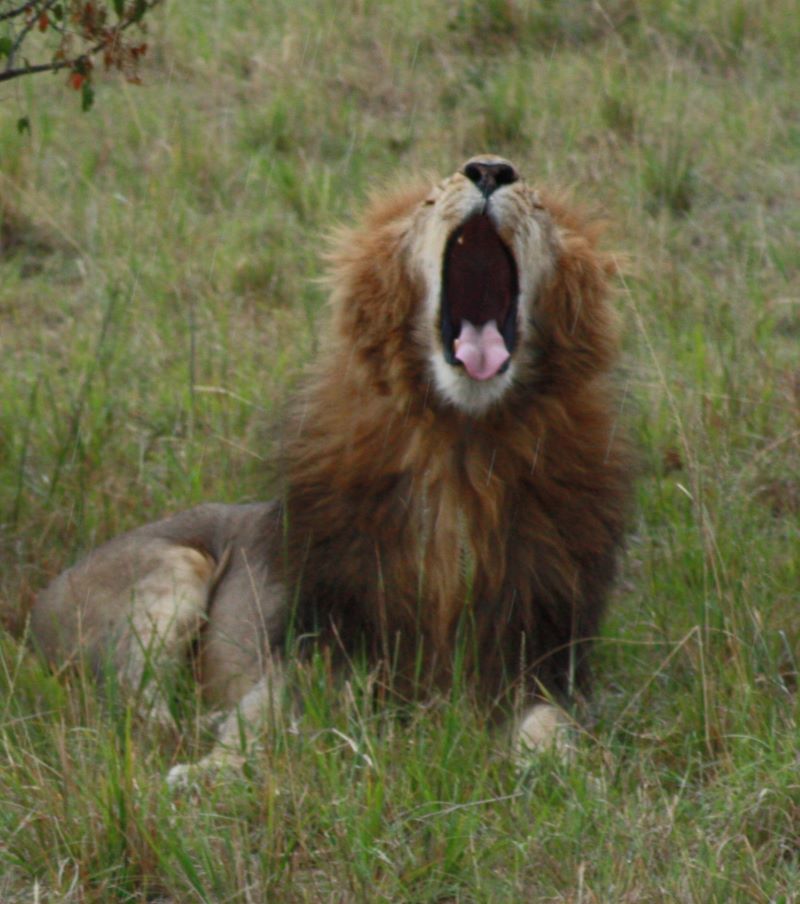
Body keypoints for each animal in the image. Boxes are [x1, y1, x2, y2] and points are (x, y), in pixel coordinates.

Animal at [31, 155, 631, 783]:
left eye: (537, 206)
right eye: (428, 201)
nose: (490, 169)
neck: (461, 446)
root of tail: (31, 609)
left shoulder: (534, 661)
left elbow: (553, 727)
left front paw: (575, 775)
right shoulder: (316, 643)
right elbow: (258, 718)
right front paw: (208, 773)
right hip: (173, 568)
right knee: (133, 707)